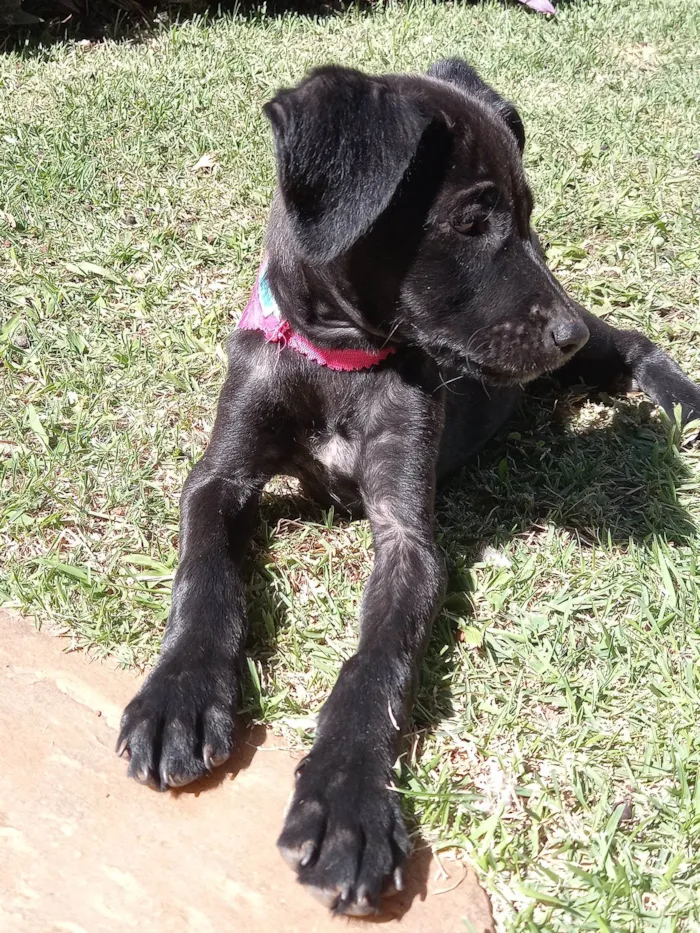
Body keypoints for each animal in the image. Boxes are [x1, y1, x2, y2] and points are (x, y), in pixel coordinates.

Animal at [117, 62, 700, 912]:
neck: (339, 359)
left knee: (630, 342)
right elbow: (206, 577)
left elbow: (374, 666)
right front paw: (178, 695)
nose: (561, 332)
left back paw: (685, 401)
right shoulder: (218, 476)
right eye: (470, 222)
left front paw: (347, 800)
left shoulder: (407, 533)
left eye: (526, 212)